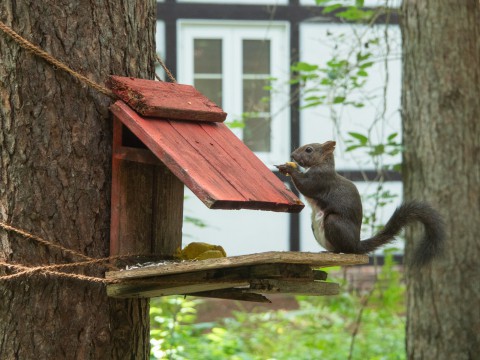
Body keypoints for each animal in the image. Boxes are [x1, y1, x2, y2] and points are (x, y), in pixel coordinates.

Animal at [278, 141, 446, 268]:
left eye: (309, 149)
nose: (292, 155)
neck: (321, 164)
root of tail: (356, 244)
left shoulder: (320, 180)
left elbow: (305, 185)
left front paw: (288, 168)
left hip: (334, 222)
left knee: (343, 250)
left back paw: (335, 252)